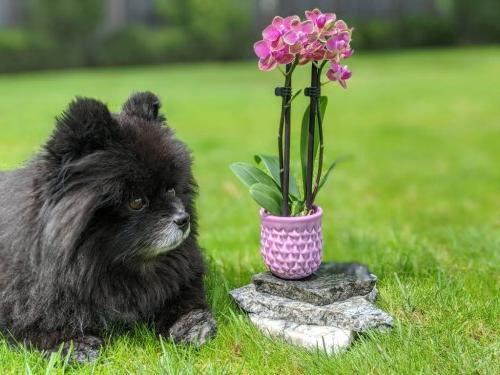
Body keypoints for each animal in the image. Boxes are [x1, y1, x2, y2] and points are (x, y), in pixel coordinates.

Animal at [0, 92, 217, 362]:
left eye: (171, 190)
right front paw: (74, 345)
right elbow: (43, 324)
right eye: (137, 202)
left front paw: (191, 324)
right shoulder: (28, 302)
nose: (182, 218)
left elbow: (183, 303)